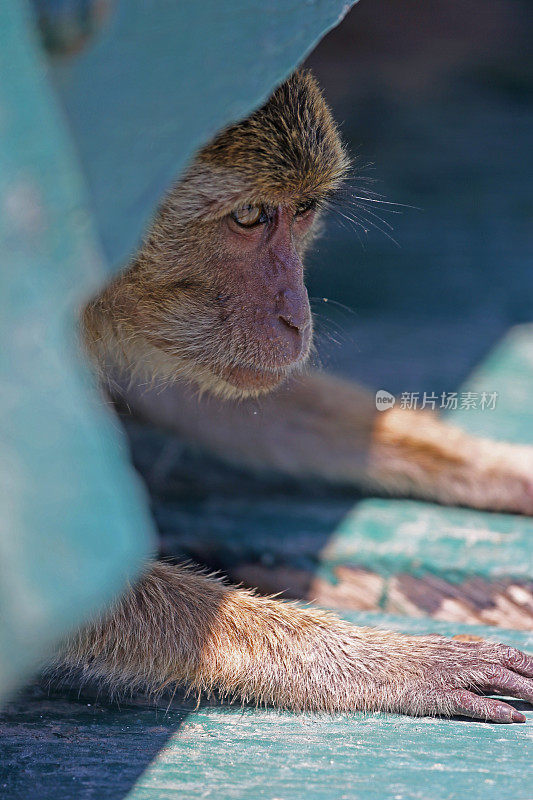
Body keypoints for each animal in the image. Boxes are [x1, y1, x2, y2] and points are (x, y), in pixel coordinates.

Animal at [51, 72, 532, 720]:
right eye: (251, 216)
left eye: (302, 211)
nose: (297, 317)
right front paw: (399, 663)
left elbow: (206, 400)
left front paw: (507, 468)